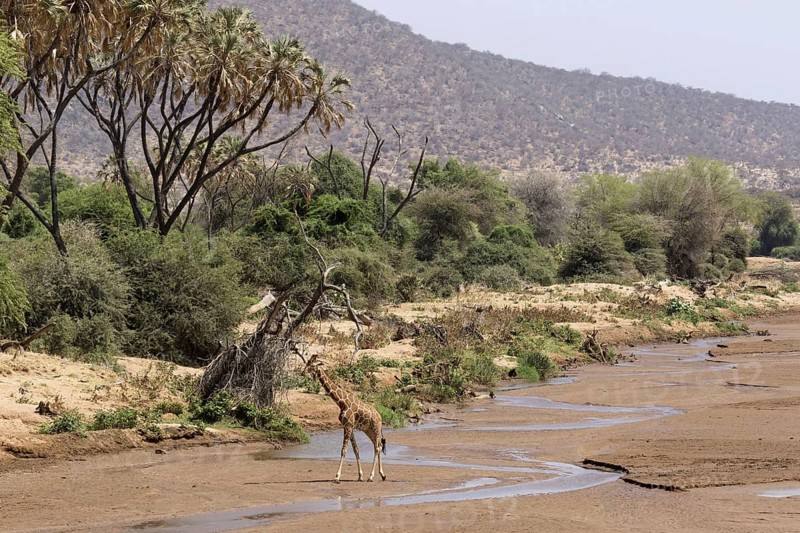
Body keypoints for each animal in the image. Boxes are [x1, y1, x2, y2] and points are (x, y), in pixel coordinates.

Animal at [302, 354, 386, 483]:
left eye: (311, 366)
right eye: (307, 363)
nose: (302, 373)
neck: (341, 402)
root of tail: (380, 416)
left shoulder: (348, 426)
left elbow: (344, 450)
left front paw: (337, 477)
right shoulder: (348, 426)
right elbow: (356, 449)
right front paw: (360, 476)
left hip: (376, 429)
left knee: (377, 448)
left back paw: (371, 476)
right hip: (369, 430)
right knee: (378, 446)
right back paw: (382, 474)